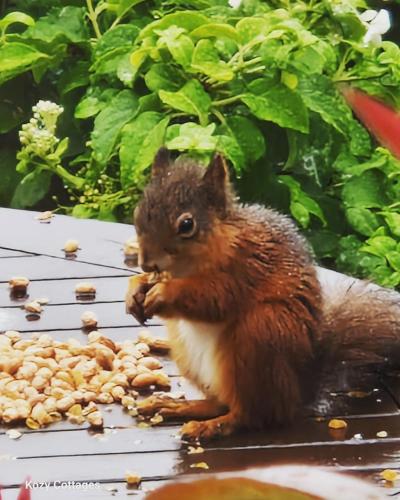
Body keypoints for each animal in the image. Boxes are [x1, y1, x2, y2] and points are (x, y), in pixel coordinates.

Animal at [126, 148, 400, 442]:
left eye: (187, 224)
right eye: (138, 211)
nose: (146, 263)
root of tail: (300, 391)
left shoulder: (247, 268)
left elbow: (214, 298)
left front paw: (163, 293)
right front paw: (135, 287)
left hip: (259, 335)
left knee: (251, 415)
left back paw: (210, 426)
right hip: (189, 351)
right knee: (220, 402)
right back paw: (177, 406)